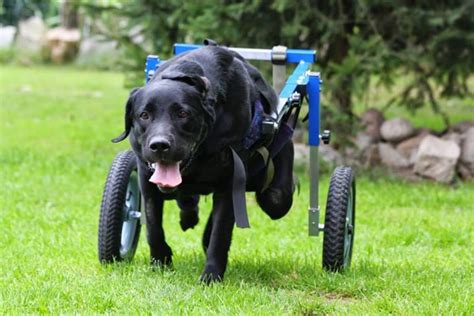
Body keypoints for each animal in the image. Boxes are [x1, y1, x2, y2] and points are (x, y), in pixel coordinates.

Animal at [113, 43, 294, 282]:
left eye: (183, 113)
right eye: (144, 115)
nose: (159, 145)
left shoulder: (231, 182)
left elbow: (220, 233)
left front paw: (211, 275)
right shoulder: (146, 177)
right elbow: (153, 227)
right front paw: (161, 260)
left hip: (274, 189)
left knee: (275, 195)